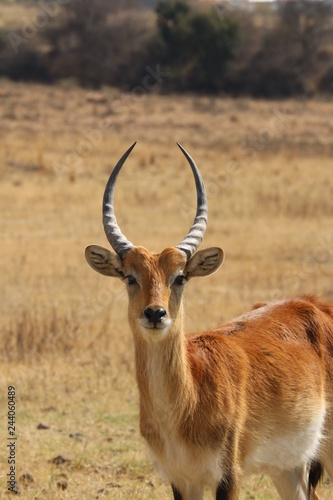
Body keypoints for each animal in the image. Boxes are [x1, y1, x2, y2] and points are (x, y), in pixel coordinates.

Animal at [85, 143, 332, 498]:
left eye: (180, 277)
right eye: (130, 277)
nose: (155, 313)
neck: (185, 405)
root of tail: (314, 304)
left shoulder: (228, 476)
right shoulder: (181, 479)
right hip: (290, 468)